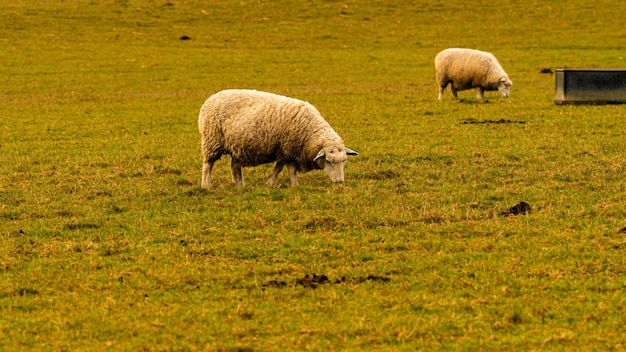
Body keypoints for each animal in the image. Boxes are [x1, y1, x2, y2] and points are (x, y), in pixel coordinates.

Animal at [197, 89, 358, 188]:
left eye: (344, 161)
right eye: (329, 161)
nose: (339, 182)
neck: (310, 132)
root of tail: (210, 99)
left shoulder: (284, 150)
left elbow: (279, 167)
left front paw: (270, 182)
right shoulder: (288, 149)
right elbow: (288, 169)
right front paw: (294, 184)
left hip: (237, 146)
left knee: (234, 166)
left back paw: (240, 185)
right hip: (212, 141)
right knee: (208, 165)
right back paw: (206, 185)